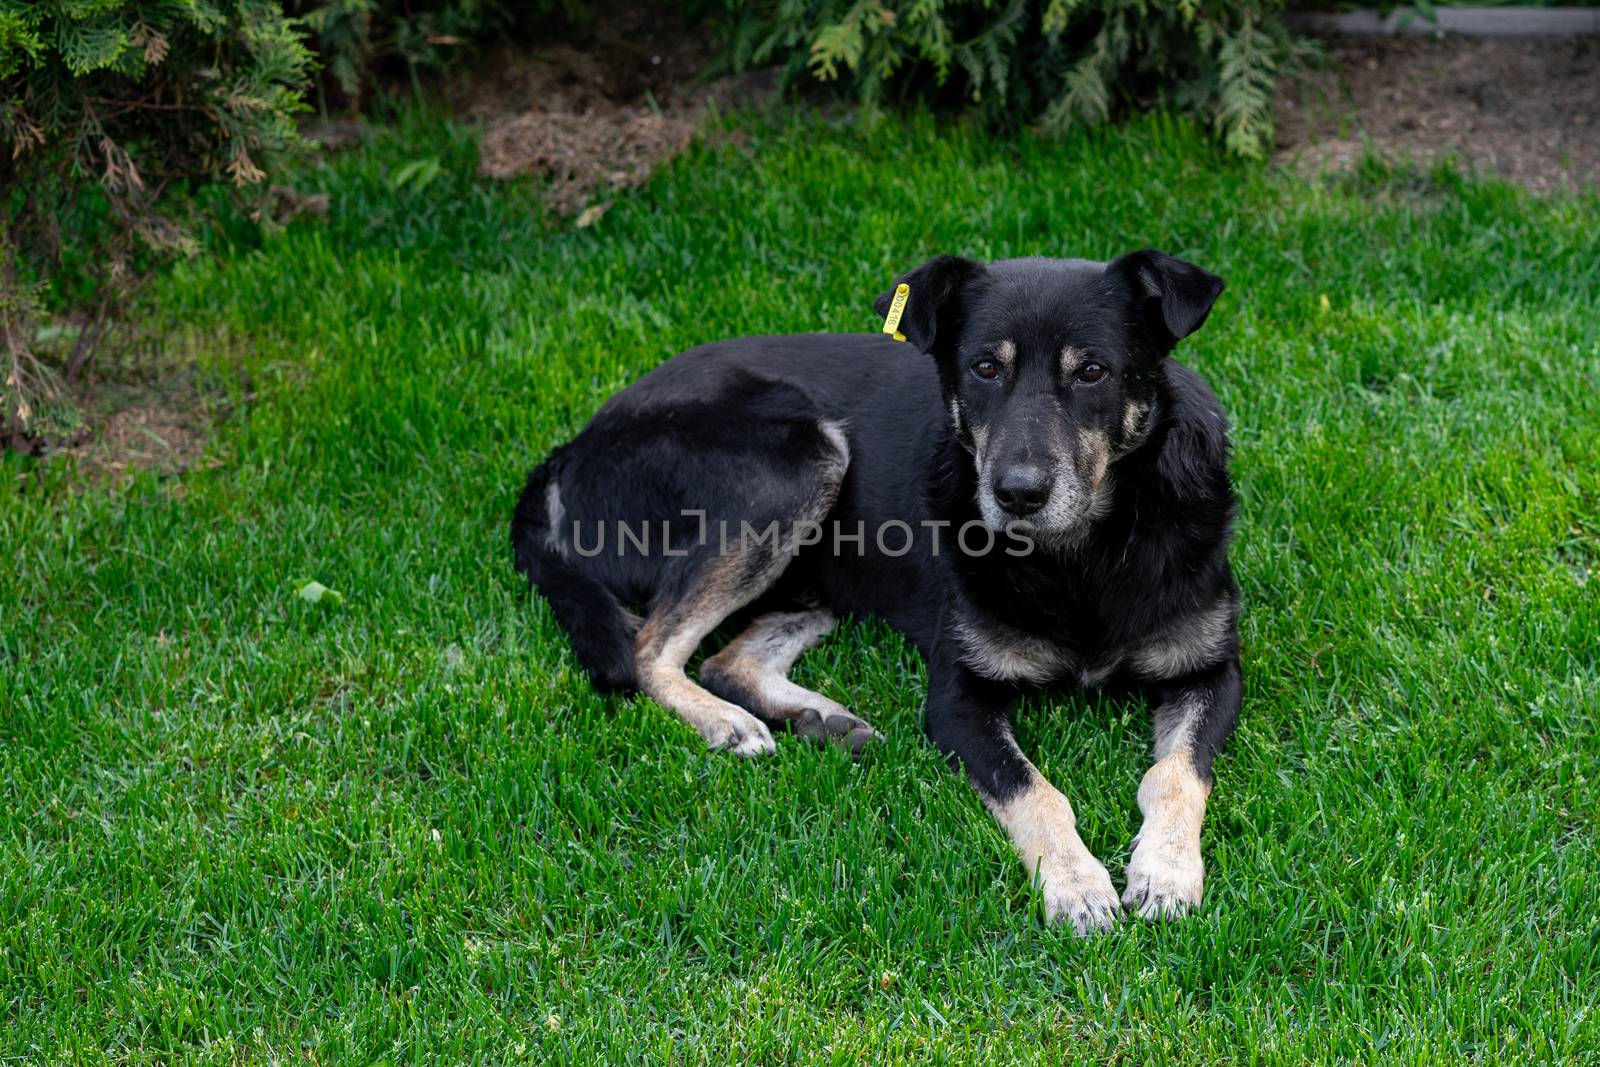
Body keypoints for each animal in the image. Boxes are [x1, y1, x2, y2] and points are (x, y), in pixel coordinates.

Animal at [512, 252, 1235, 934]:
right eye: (984, 368)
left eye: (1093, 372)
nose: (1017, 494)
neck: (1082, 557)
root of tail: (568, 451)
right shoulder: (956, 698)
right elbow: (1036, 792)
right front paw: (1077, 885)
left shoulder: (1213, 671)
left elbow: (1174, 776)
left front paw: (1165, 872)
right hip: (796, 460)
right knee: (650, 648)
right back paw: (727, 722)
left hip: (822, 564)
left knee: (726, 658)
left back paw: (820, 720)